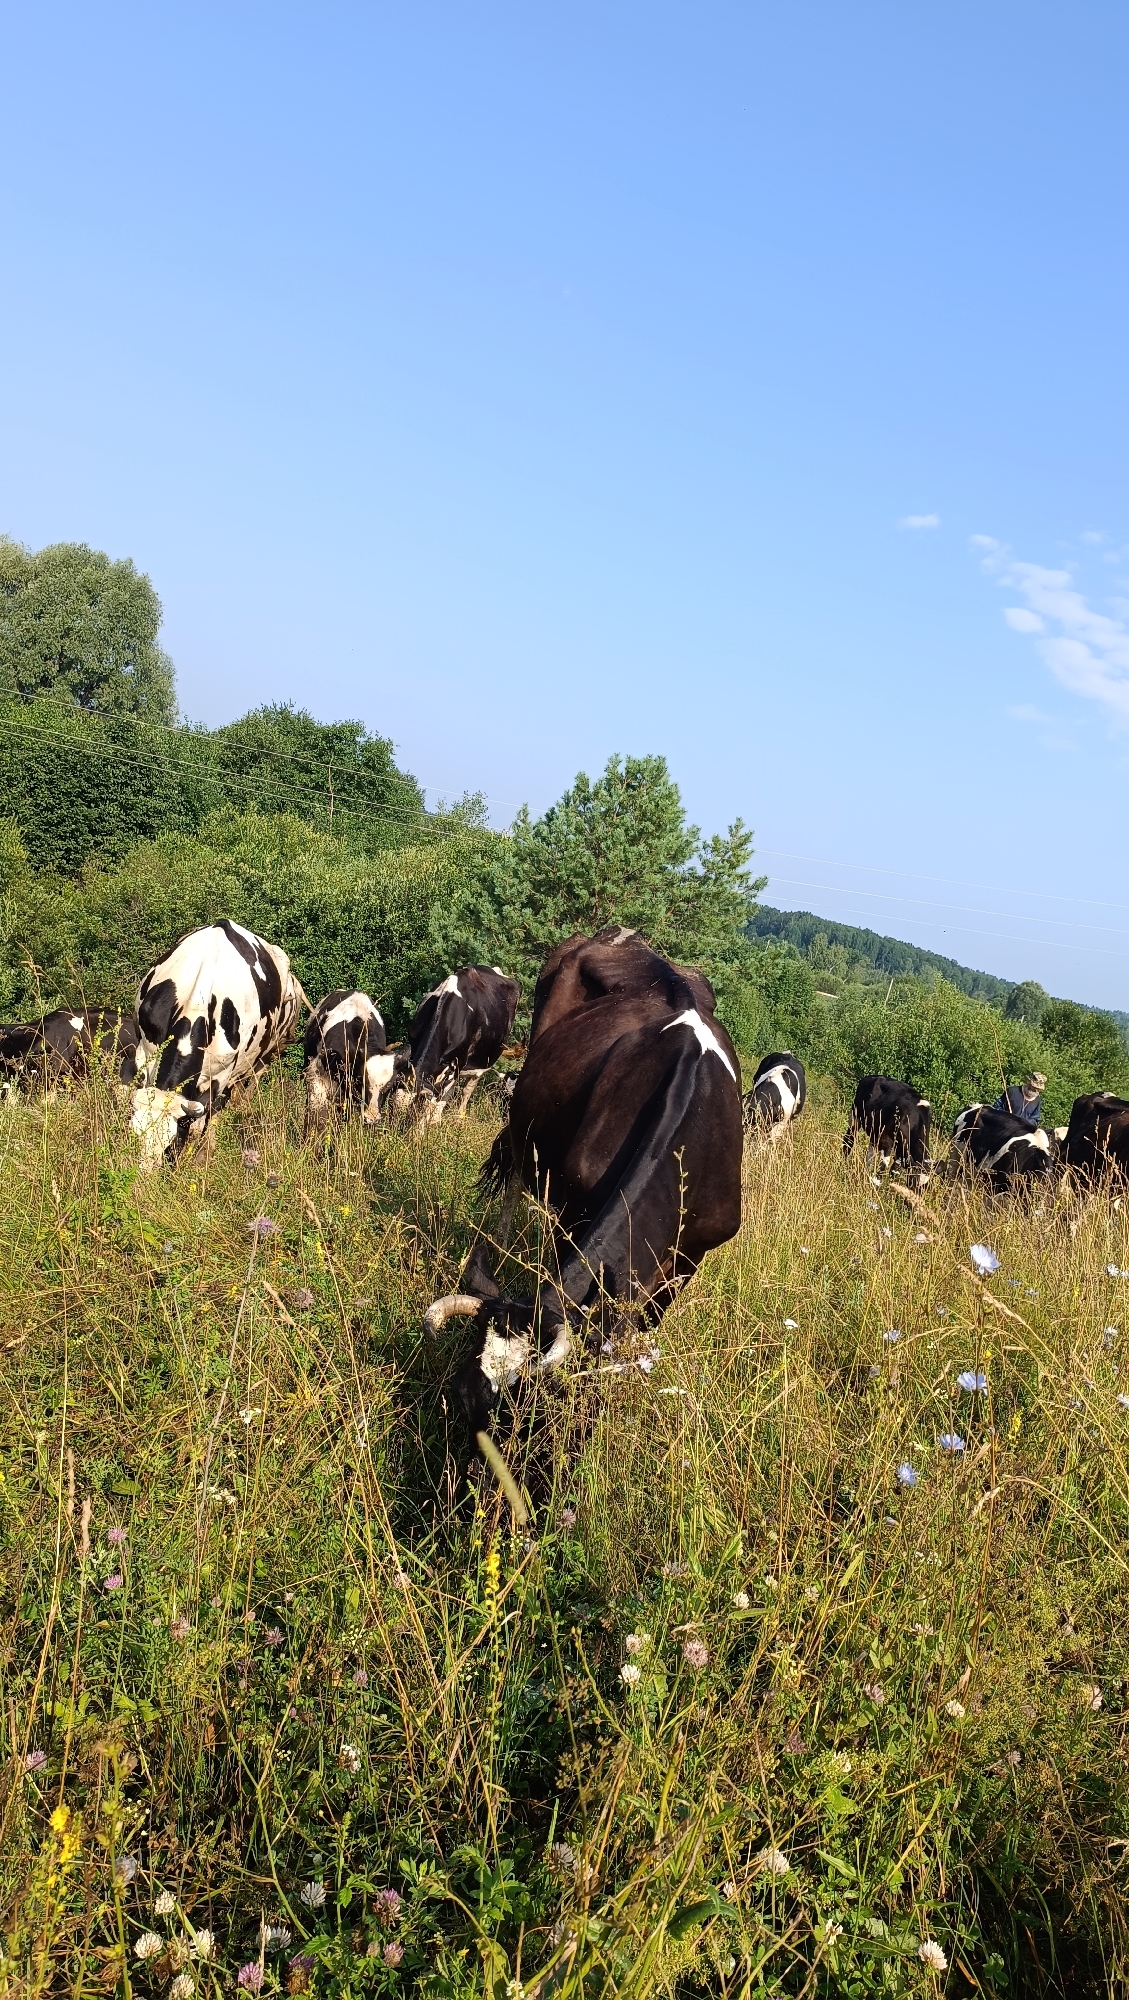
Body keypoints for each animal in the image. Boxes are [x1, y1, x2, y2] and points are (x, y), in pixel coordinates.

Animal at [131, 919, 305, 1166]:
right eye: (135, 1136)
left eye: (170, 1146)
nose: (143, 1175)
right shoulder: (144, 1053)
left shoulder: (222, 1074)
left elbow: (209, 1114)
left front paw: (201, 1156)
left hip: (264, 1053)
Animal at [394, 965, 520, 1126]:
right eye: (391, 1106)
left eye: (417, 1107)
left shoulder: (458, 1062)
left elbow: (436, 1100)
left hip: (482, 1064)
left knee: (466, 1091)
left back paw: (458, 1117)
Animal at [423, 927, 744, 1495]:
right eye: (463, 1399)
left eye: (528, 1414)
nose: (475, 1498)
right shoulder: (572, 1210)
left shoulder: (690, 1259)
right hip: (527, 1121)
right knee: (513, 1177)